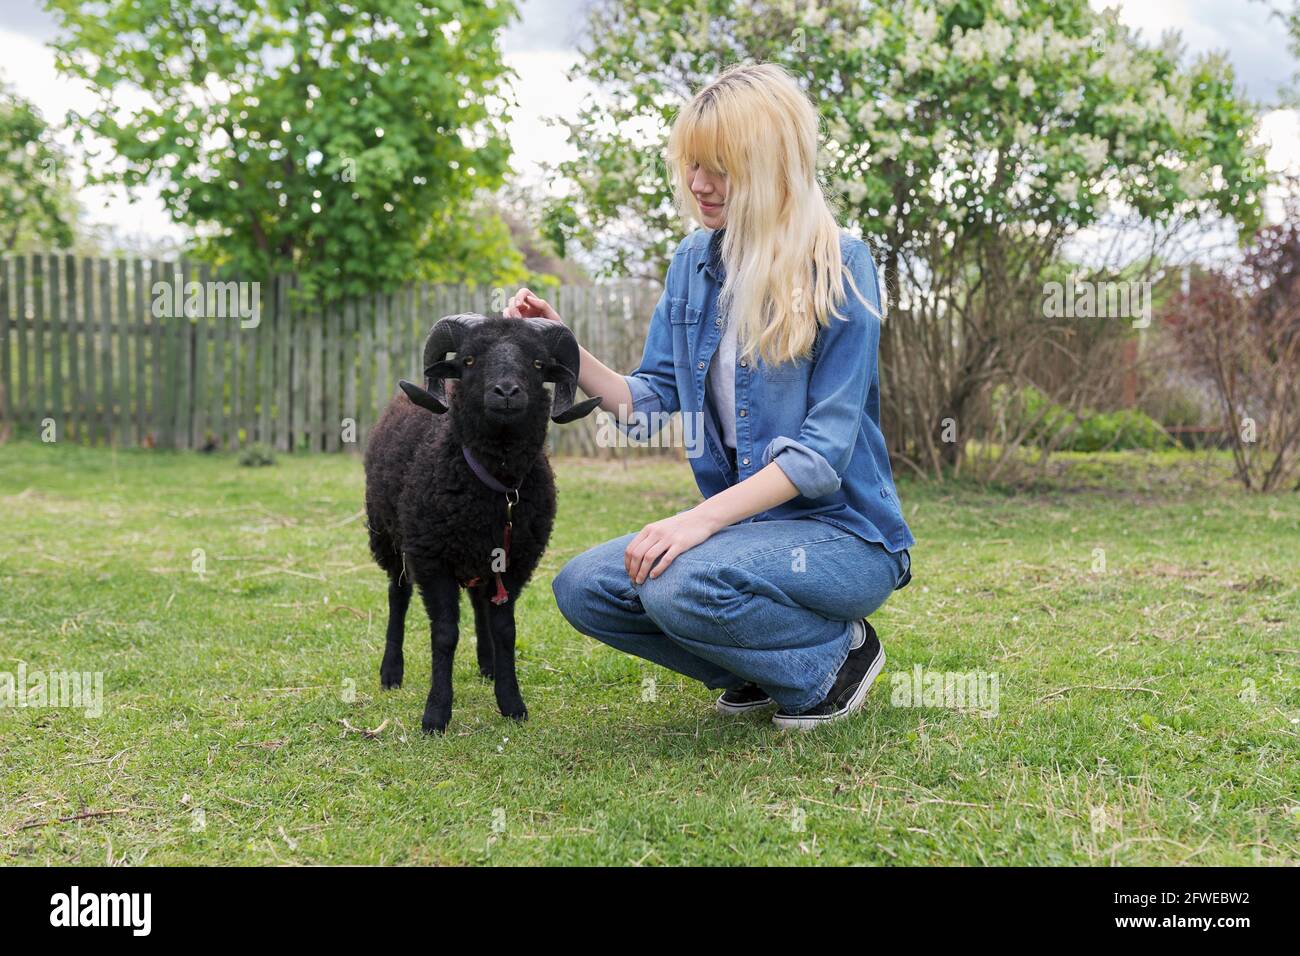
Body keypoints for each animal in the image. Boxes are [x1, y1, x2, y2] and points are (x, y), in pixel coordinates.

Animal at [364, 314, 600, 733]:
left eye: (538, 364)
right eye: (469, 360)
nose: (506, 391)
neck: (495, 487)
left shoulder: (516, 561)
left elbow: (505, 629)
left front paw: (512, 703)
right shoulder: (432, 559)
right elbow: (444, 634)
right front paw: (436, 715)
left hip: (481, 555)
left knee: (479, 603)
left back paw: (487, 664)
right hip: (389, 537)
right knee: (398, 595)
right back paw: (391, 672)